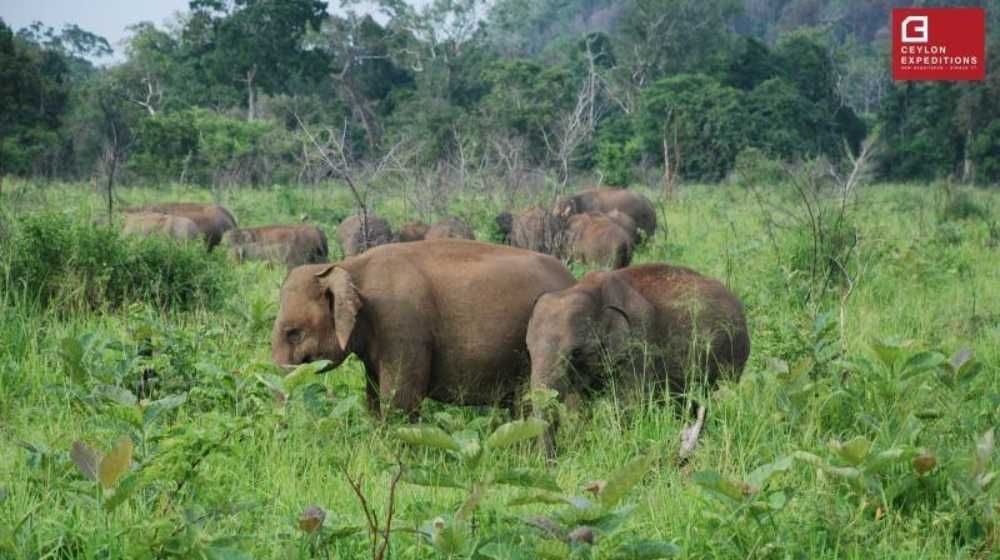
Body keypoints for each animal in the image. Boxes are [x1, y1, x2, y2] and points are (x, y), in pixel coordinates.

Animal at [272, 238, 580, 418]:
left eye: (294, 333)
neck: (349, 265)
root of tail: (573, 278)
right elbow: (373, 395)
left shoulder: (401, 324)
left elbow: (399, 398)